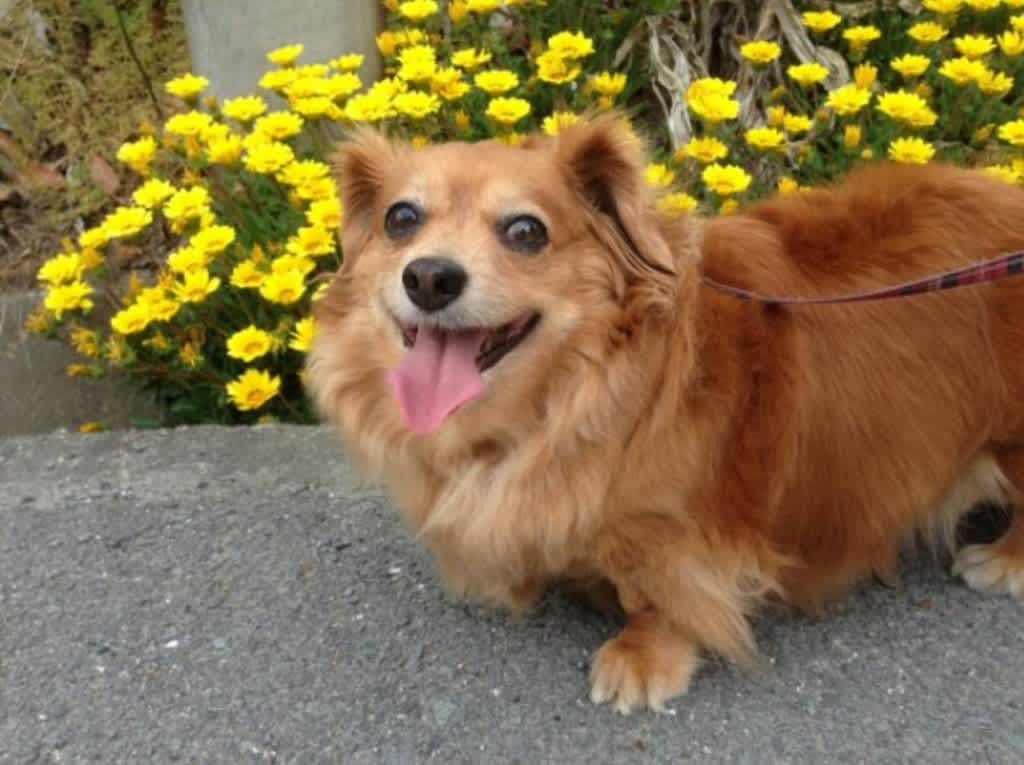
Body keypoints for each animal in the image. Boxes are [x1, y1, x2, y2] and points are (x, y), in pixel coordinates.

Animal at [307, 113, 1024, 713]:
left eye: (525, 231)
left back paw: (1004, 560)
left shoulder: (671, 538)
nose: (429, 277)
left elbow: (654, 599)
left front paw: (642, 656)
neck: (575, 394)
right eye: (401, 218)